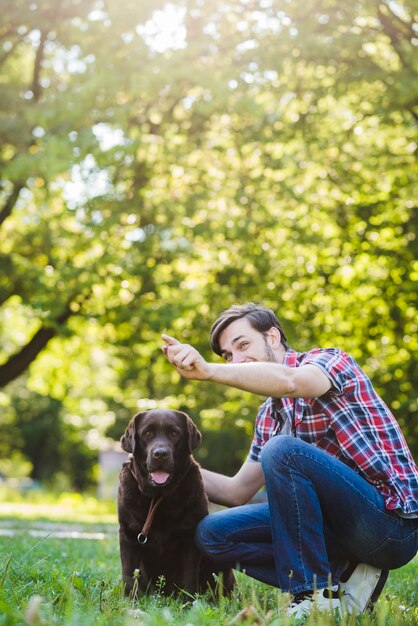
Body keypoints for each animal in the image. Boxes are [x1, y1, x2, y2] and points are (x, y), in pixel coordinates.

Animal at [117, 410, 235, 596]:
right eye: (147, 433)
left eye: (174, 434)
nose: (160, 454)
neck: (158, 496)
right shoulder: (128, 535)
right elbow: (129, 575)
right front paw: (128, 601)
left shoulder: (190, 536)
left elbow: (189, 578)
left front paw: (189, 602)